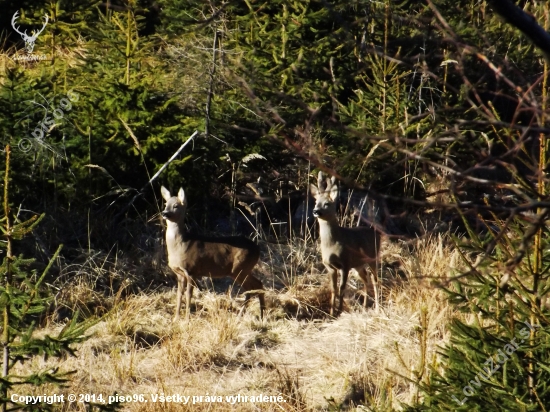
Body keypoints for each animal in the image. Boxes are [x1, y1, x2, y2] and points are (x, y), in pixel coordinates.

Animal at [161, 187, 266, 322]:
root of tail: (258, 249)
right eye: (165, 204)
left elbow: (189, 295)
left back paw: (247, 315)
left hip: (240, 268)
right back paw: (261, 316)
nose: (164, 213)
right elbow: (179, 295)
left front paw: (187, 319)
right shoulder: (180, 273)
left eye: (176, 206)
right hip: (244, 269)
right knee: (258, 285)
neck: (181, 245)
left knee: (252, 288)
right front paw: (176, 318)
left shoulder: (192, 270)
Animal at [310, 172, 384, 318]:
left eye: (326, 204)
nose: (315, 211)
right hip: (358, 264)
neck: (332, 244)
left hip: (373, 257)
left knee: (375, 279)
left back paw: (378, 308)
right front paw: (331, 313)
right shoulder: (329, 266)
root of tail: (377, 233)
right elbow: (333, 288)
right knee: (366, 278)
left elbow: (342, 287)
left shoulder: (345, 263)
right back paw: (365, 307)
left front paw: (339, 311)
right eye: (316, 202)